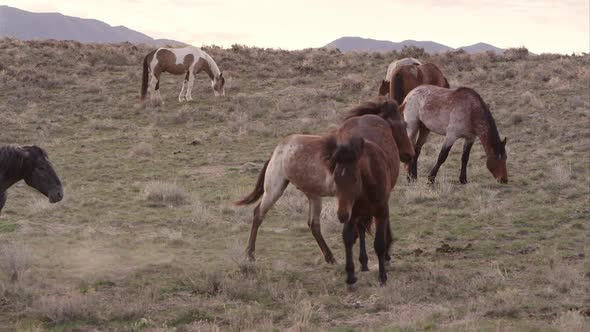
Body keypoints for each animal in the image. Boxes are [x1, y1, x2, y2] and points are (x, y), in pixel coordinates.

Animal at [234, 98, 414, 286]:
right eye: (400, 125)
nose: (409, 154)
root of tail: (277, 150)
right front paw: (381, 256)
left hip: (314, 196)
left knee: (313, 224)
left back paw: (330, 257)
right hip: (274, 189)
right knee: (258, 214)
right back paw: (250, 254)